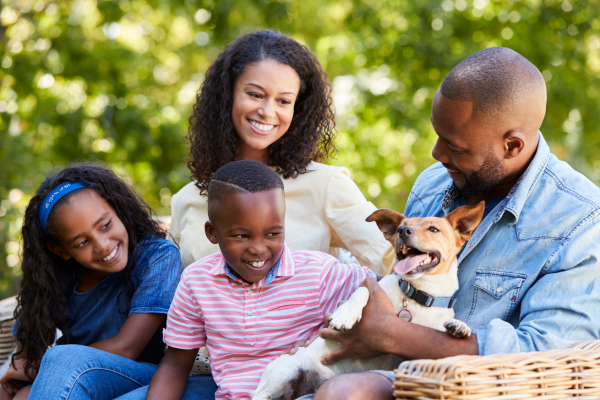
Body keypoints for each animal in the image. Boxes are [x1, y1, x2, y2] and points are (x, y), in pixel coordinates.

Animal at [251, 203, 486, 400]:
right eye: (402, 227)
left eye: (434, 229)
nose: (403, 232)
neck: (416, 295)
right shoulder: (371, 287)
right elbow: (362, 291)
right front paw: (345, 315)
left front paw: (459, 326)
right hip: (284, 373)